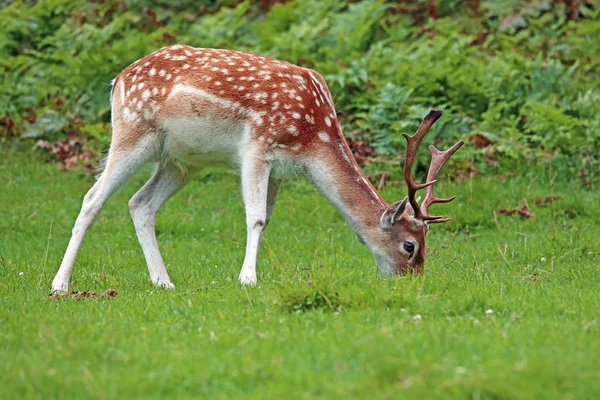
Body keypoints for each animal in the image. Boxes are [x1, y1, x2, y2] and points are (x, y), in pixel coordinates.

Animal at [50, 45, 464, 292]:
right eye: (410, 245)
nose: (414, 282)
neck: (313, 136)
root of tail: (117, 79)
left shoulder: (281, 169)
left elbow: (267, 216)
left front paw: (249, 273)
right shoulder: (256, 147)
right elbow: (256, 217)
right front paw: (247, 278)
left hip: (181, 162)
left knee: (140, 203)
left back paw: (163, 282)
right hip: (132, 131)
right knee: (92, 198)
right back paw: (61, 284)